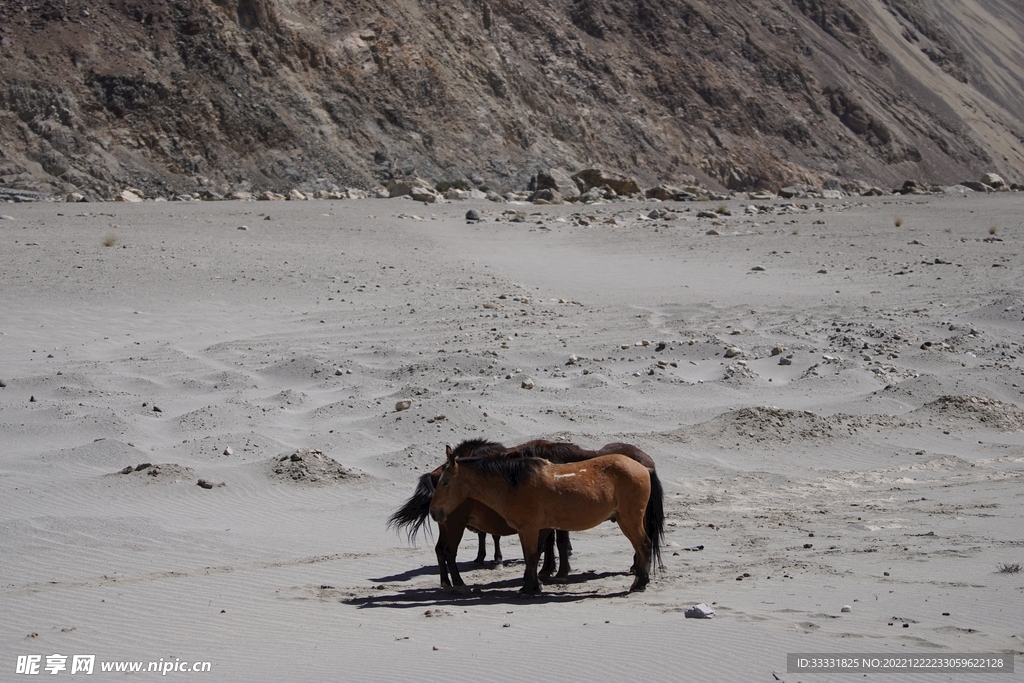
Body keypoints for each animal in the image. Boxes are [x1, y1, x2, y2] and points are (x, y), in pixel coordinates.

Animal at [387, 438, 656, 590]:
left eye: (445, 483)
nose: (434, 512)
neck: (514, 482)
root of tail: (644, 467)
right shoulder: (531, 529)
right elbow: (534, 555)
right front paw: (535, 582)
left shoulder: (531, 528)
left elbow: (534, 555)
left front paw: (531, 586)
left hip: (629, 519)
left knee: (643, 545)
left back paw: (639, 582)